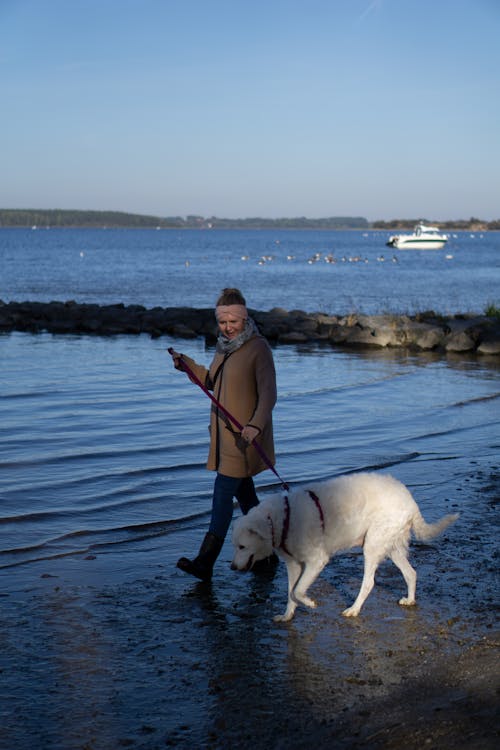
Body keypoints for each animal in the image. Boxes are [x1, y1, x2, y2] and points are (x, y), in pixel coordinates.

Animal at [230, 476, 458, 624]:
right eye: (234, 546)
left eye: (242, 546)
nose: (232, 567)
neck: (283, 518)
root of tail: (411, 501)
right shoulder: (293, 564)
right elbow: (290, 593)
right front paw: (288, 615)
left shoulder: (316, 561)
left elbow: (297, 590)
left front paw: (310, 603)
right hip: (390, 546)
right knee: (411, 573)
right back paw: (410, 600)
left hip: (372, 545)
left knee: (369, 582)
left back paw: (354, 609)